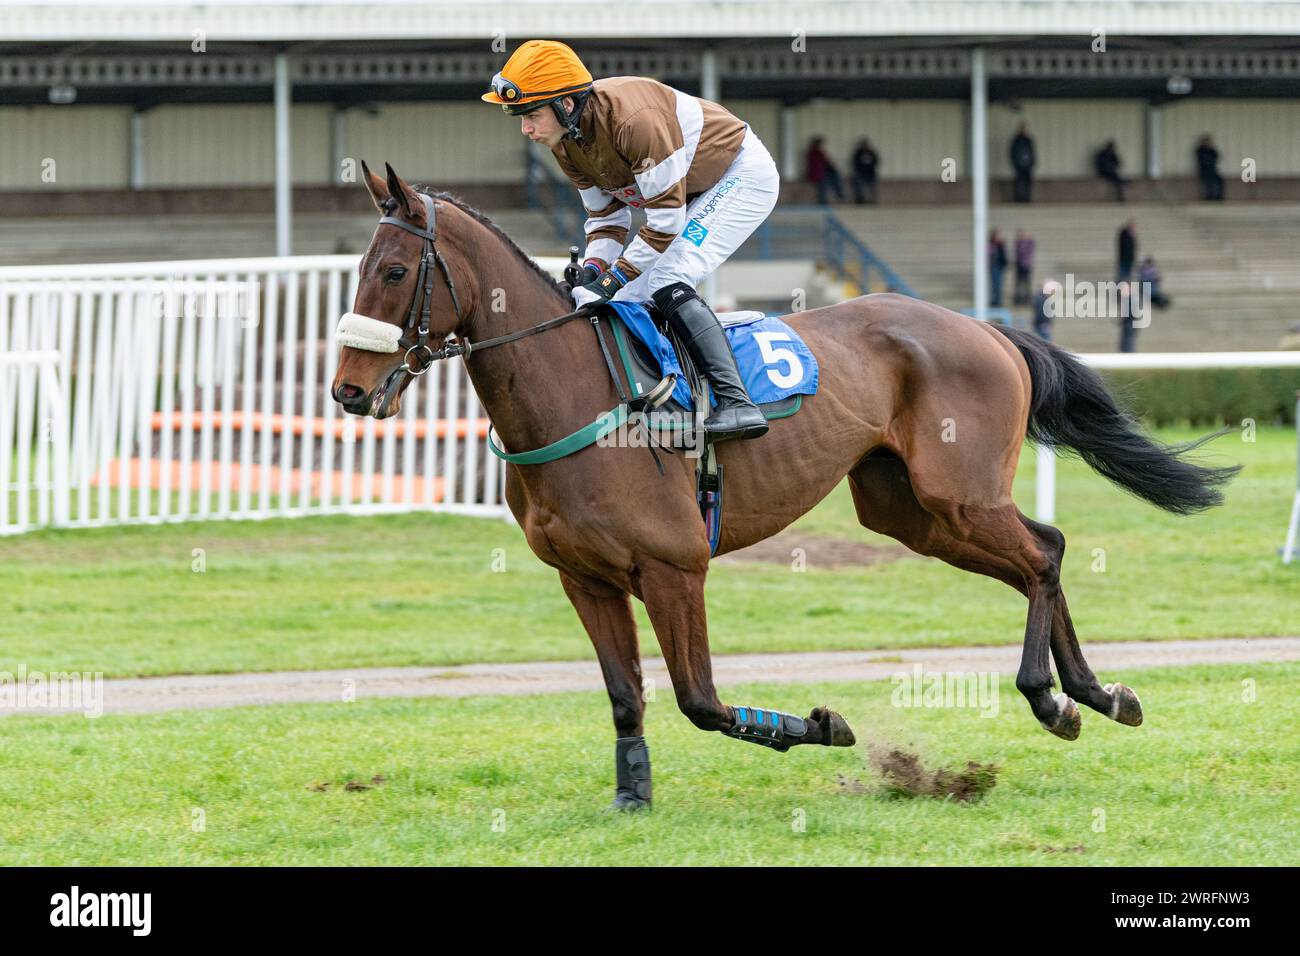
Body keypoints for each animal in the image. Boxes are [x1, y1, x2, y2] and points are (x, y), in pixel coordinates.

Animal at [330, 164, 1232, 806]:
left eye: (396, 271)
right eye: (360, 269)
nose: (346, 390)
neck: (577, 392)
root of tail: (985, 327)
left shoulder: (674, 567)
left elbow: (699, 699)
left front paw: (826, 726)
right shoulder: (585, 578)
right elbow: (626, 697)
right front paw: (631, 798)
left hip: (959, 496)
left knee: (1044, 553)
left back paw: (1053, 698)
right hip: (914, 514)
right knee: (1040, 551)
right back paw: (1097, 694)